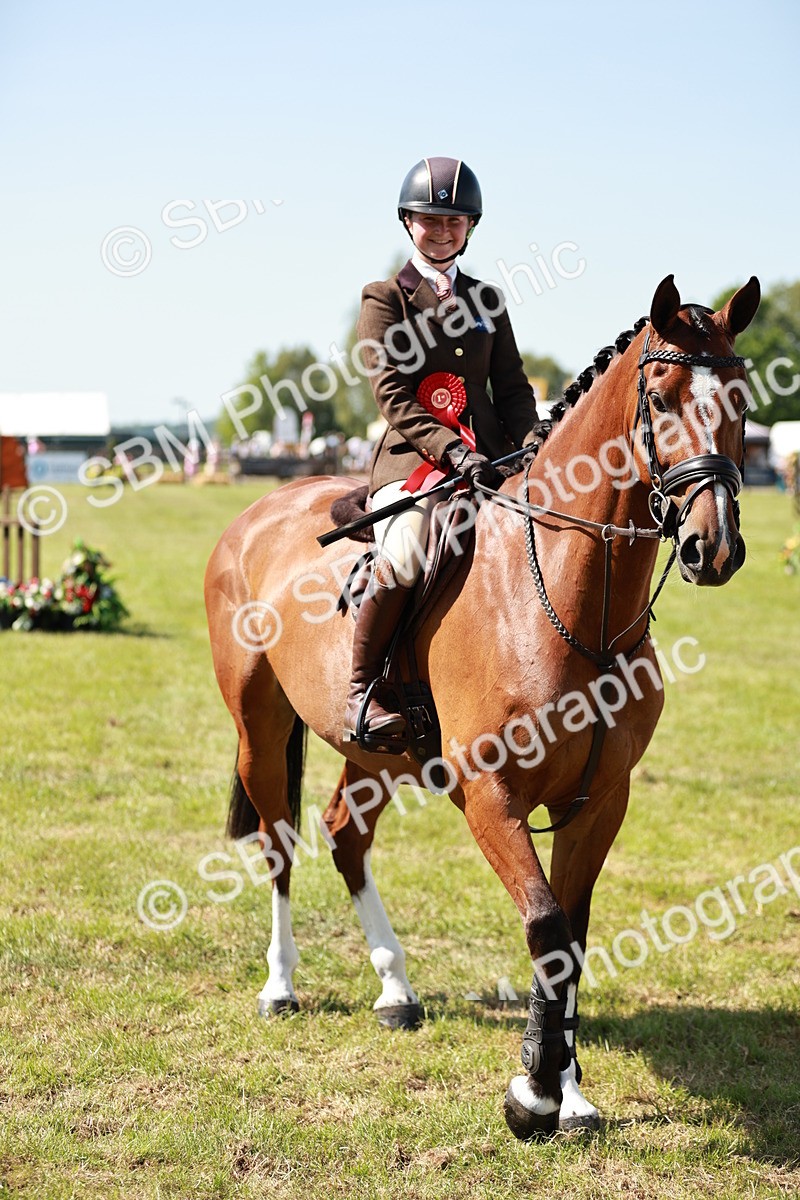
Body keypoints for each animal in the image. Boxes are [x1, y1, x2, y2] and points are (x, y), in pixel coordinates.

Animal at [204, 273, 760, 1138]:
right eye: (662, 398)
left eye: (739, 397)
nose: (715, 546)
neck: (573, 602)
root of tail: (261, 510)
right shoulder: (491, 795)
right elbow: (546, 924)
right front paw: (531, 1094)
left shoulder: (600, 799)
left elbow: (574, 936)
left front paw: (569, 1092)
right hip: (258, 727)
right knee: (280, 842)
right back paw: (281, 985)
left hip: (378, 752)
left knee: (345, 836)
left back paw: (396, 990)